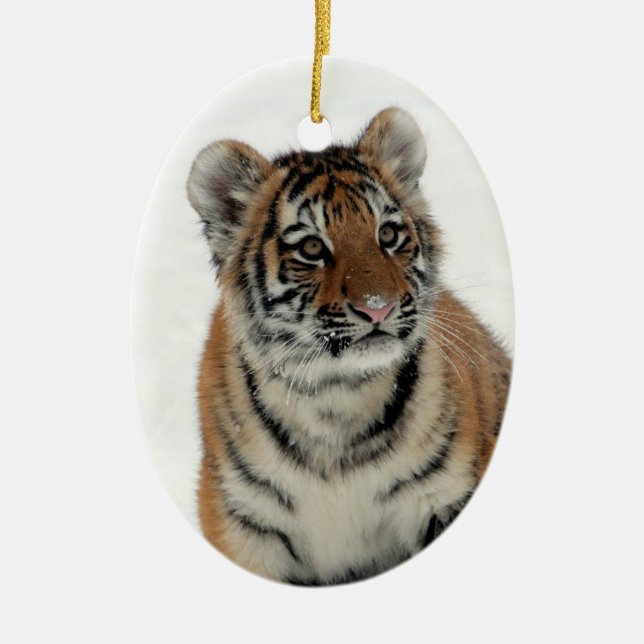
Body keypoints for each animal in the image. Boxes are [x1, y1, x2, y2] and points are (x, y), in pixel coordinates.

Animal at [186, 107, 511, 585]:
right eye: (311, 247)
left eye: (388, 235)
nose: (378, 308)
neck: (335, 398)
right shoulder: (244, 520)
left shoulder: (444, 496)